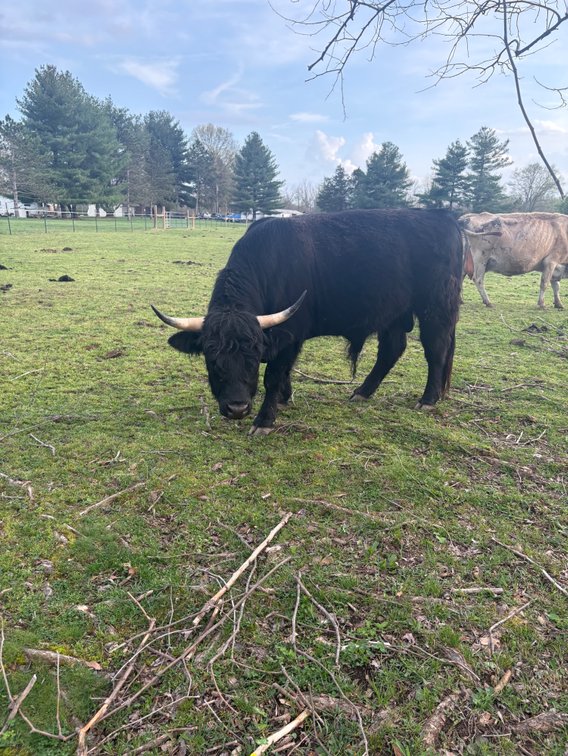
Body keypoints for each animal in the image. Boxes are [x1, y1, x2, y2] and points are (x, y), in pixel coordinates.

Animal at [151, 209, 463, 435]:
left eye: (252, 358)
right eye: (212, 358)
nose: (237, 409)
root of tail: (443, 217)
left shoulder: (289, 332)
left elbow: (274, 375)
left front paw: (264, 420)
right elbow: (285, 372)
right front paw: (284, 398)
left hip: (436, 309)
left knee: (435, 350)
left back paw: (427, 399)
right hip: (394, 314)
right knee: (391, 350)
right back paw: (362, 392)